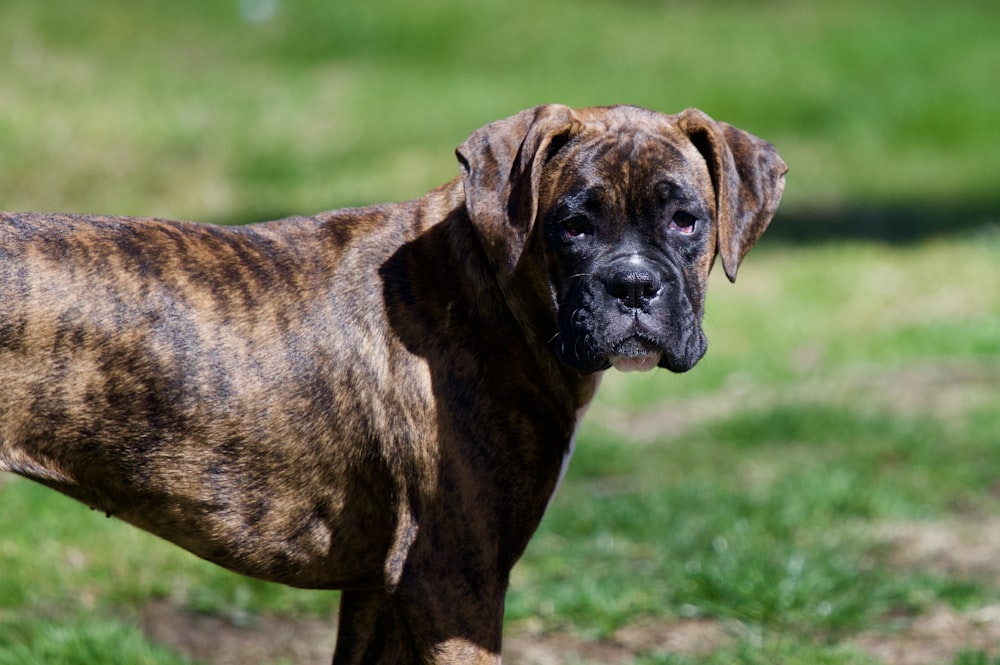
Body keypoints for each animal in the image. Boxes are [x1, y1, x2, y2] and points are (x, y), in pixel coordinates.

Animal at [1, 104, 788, 660]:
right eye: (572, 227)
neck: (491, 288)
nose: (632, 285)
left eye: (686, 220)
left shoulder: (381, 592)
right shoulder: (453, 582)